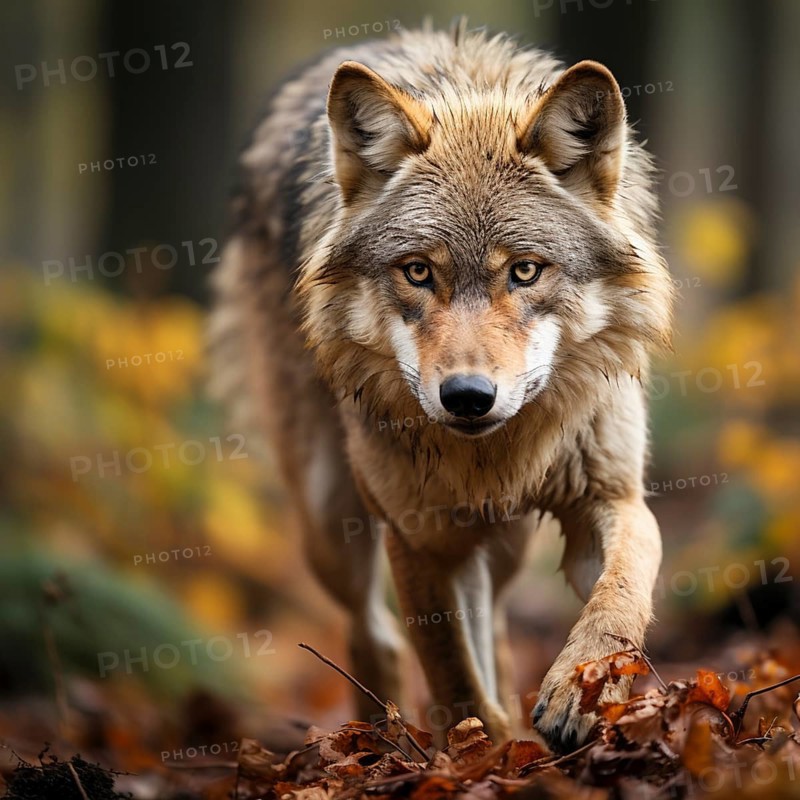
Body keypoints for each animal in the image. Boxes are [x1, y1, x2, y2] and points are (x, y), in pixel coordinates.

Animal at [209, 21, 673, 753]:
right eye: (419, 271)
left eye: (525, 271)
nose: (468, 397)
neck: (497, 455)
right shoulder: (419, 538)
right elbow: (452, 675)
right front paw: (477, 750)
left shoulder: (610, 496)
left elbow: (621, 592)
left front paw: (580, 692)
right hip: (330, 518)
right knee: (374, 636)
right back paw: (380, 741)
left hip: (501, 547)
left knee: (497, 624)